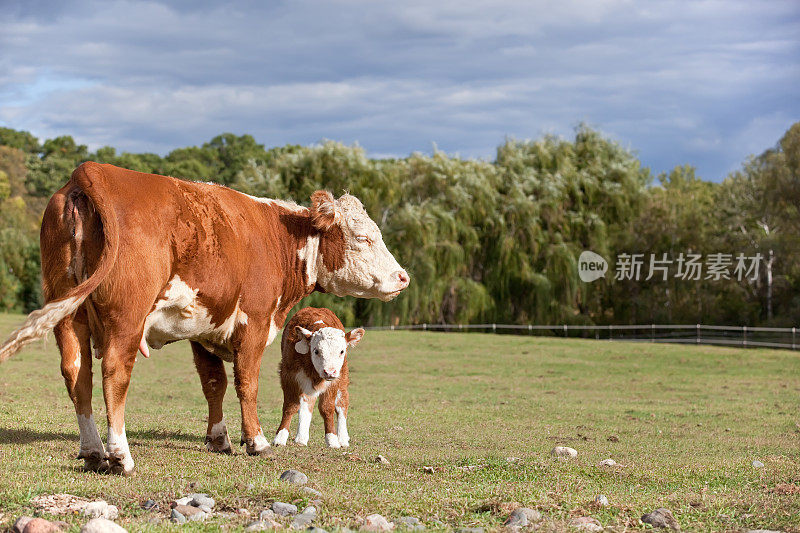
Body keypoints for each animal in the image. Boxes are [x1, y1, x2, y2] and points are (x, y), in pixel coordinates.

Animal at [274, 308, 364, 448]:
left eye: (341, 351)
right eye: (316, 351)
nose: (329, 371)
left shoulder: (334, 382)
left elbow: (327, 408)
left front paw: (332, 439)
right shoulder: (288, 376)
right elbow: (290, 406)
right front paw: (280, 437)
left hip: (342, 379)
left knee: (341, 405)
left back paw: (343, 438)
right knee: (306, 404)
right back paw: (301, 438)